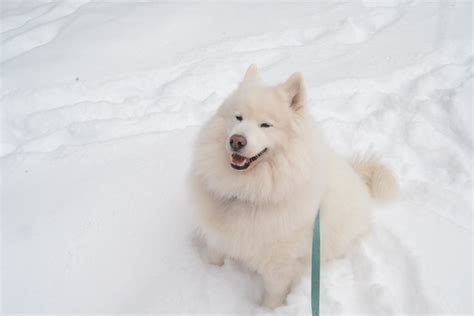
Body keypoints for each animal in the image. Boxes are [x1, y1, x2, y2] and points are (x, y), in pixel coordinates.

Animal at [191, 65, 398, 310]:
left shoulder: (279, 264)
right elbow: (214, 258)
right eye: (238, 117)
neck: (247, 191)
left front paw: (267, 311)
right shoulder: (218, 238)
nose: (236, 140)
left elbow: (273, 296)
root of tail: (356, 174)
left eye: (265, 125)